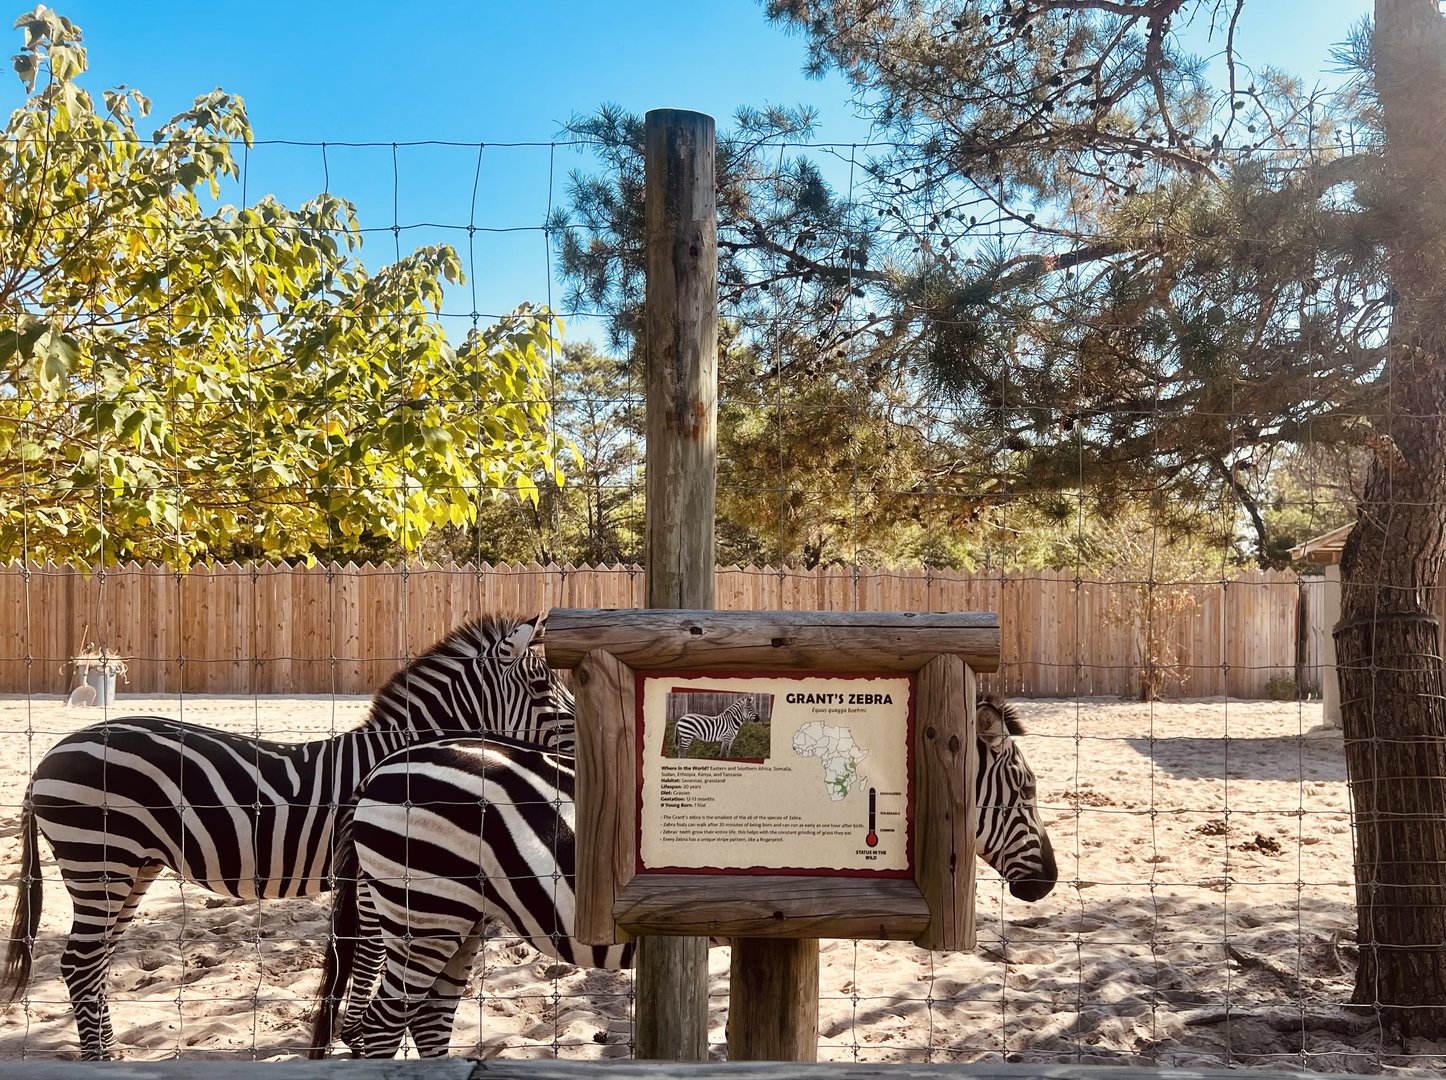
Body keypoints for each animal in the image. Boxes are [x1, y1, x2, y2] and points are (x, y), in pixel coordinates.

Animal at [1, 612, 573, 1061]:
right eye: (544, 689)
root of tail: (51, 754)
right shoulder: (375, 880)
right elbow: (366, 958)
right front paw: (355, 1039)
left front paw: (348, 1036)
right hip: (100, 861)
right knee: (79, 963)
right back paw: (99, 1057)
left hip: (132, 866)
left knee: (95, 961)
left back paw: (109, 1048)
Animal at [311, 693, 1056, 1059]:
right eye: (1025, 789)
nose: (1046, 882)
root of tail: (380, 771)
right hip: (426, 909)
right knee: (377, 1029)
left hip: (448, 915)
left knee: (422, 1023)